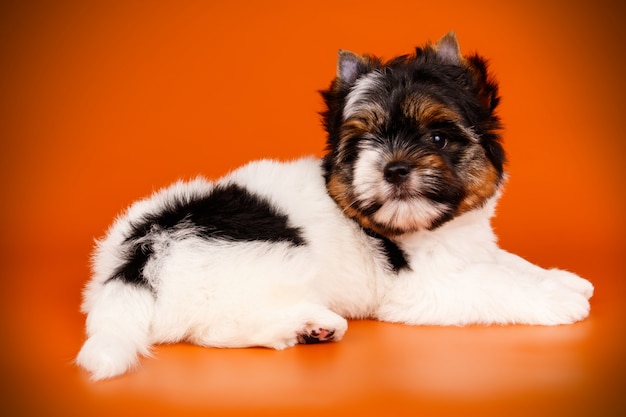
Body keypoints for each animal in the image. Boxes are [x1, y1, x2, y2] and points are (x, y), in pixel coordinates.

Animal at [75, 30, 592, 378]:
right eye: (363, 144)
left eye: (438, 138)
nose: (394, 168)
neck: (434, 227)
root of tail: (133, 257)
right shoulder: (418, 289)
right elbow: (492, 283)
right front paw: (557, 299)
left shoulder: (471, 247)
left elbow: (506, 262)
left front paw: (562, 278)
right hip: (269, 260)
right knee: (216, 329)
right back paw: (309, 325)